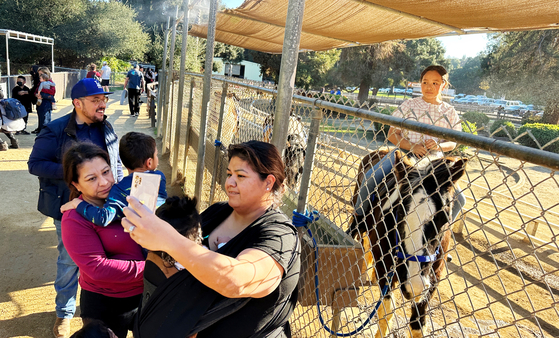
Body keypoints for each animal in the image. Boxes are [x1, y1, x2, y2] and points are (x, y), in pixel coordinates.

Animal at [350, 149, 468, 336]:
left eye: (444, 216)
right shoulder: (385, 269)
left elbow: (418, 325)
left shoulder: (433, 279)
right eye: (399, 211)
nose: (415, 285)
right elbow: (386, 314)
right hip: (358, 216)